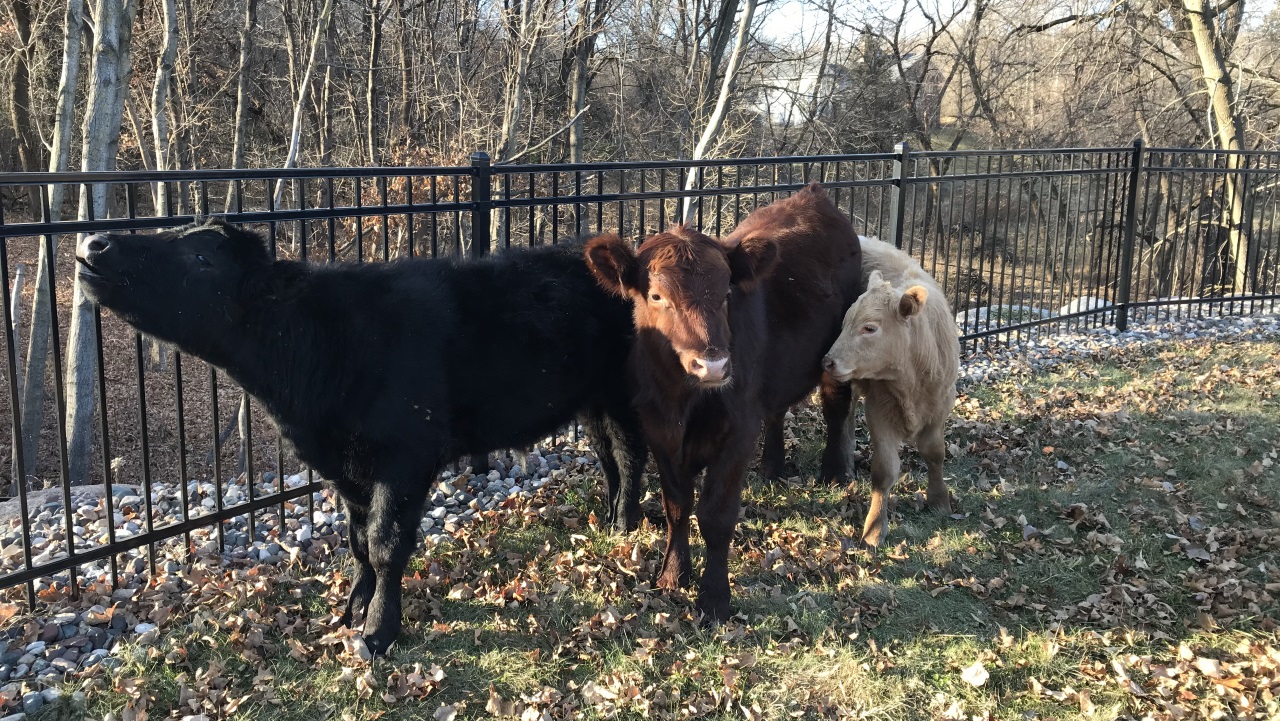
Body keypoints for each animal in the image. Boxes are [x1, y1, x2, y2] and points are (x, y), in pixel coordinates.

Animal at [75, 218, 647, 654]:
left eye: (201, 259)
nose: (95, 243)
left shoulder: (406, 456)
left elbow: (385, 544)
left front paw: (377, 631)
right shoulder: (344, 466)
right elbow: (356, 542)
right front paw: (351, 609)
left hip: (623, 391)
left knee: (629, 453)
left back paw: (626, 525)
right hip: (590, 399)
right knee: (608, 456)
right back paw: (610, 518)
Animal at [584, 183, 863, 621]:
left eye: (726, 291)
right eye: (657, 295)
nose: (713, 365)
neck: (684, 401)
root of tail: (813, 195)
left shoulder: (737, 434)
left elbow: (715, 516)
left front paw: (714, 598)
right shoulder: (659, 433)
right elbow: (677, 507)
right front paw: (672, 575)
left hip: (838, 353)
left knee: (836, 406)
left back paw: (835, 472)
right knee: (776, 409)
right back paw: (771, 468)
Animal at [822, 236, 961, 548]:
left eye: (870, 328)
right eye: (844, 323)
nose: (828, 361)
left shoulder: (941, 405)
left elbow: (935, 452)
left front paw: (939, 500)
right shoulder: (879, 409)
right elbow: (884, 471)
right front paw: (875, 528)